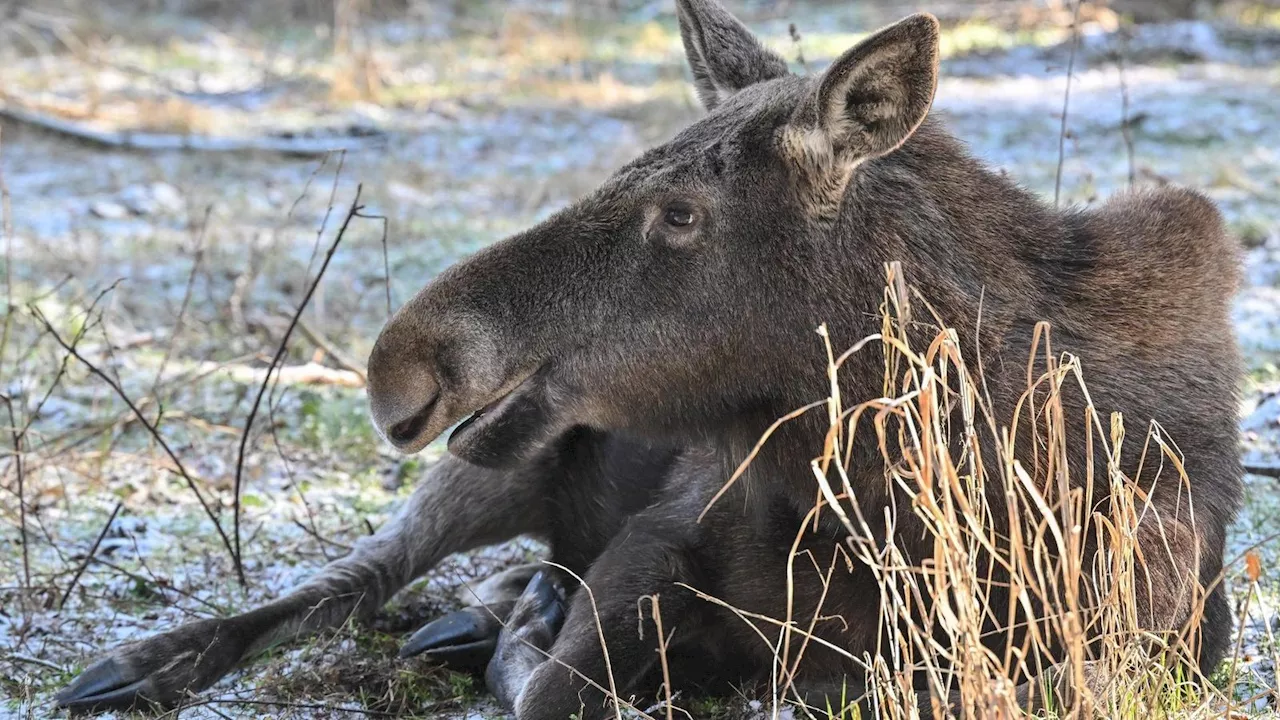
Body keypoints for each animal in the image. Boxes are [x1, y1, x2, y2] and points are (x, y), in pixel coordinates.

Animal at [57, 1, 1239, 712]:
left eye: (678, 212)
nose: (400, 363)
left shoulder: (1154, 638)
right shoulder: (652, 546)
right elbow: (547, 683)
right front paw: (524, 627)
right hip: (494, 468)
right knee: (353, 575)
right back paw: (137, 666)